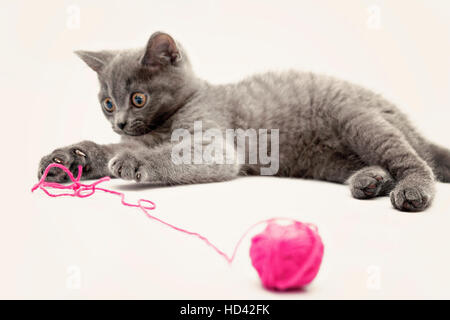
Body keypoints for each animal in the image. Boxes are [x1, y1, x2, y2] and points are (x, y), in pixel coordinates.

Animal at [38, 31, 450, 212]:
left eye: (138, 99)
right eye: (108, 104)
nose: (121, 122)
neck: (163, 125)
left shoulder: (214, 141)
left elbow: (174, 152)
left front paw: (132, 162)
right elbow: (103, 147)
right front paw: (66, 159)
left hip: (357, 118)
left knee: (414, 160)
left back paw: (411, 189)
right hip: (327, 158)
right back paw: (370, 180)